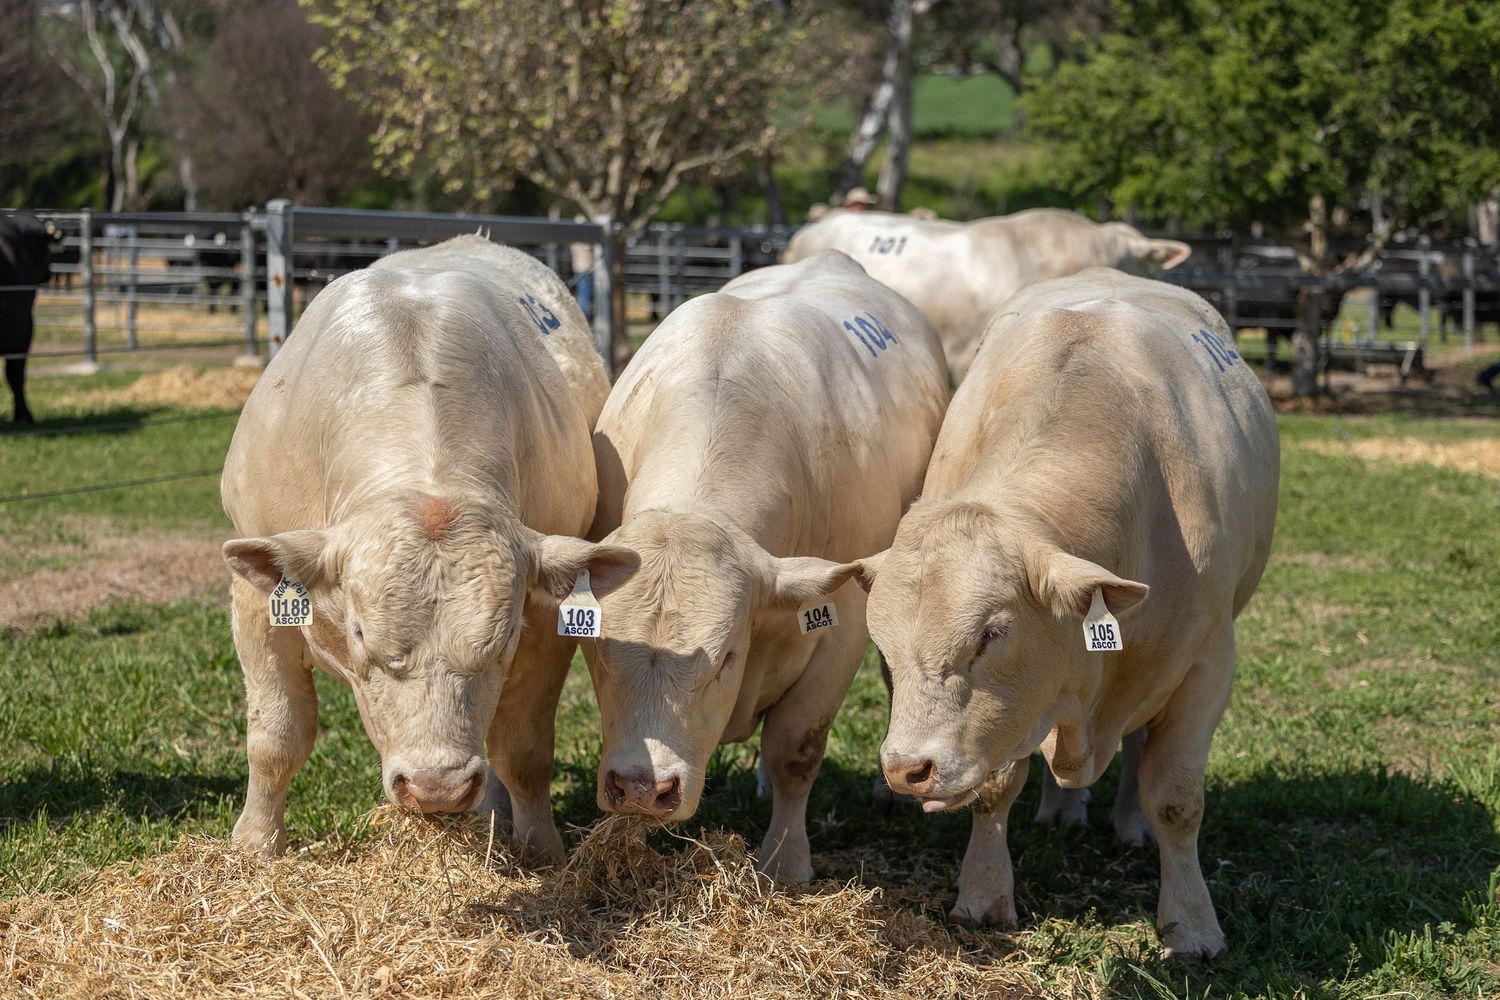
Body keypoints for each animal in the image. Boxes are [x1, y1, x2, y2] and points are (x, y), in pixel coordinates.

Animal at [219, 234, 635, 862]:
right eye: (360, 633)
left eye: (505, 636)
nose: (437, 788)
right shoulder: (256, 602)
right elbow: (276, 735)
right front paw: (255, 846)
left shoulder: (546, 624)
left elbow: (524, 749)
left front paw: (540, 849)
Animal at [585, 250, 949, 883]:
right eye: (600, 653)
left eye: (727, 657)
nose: (642, 787)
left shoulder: (840, 633)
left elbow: (795, 750)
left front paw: (785, 861)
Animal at [855, 268, 1279, 960]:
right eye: (884, 651)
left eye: (991, 634)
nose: (906, 769)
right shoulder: (1016, 713)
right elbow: (996, 788)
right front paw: (984, 894)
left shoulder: (1208, 662)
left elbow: (1177, 799)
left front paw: (1192, 924)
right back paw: (1062, 808)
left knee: (1139, 749)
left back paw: (1128, 821)